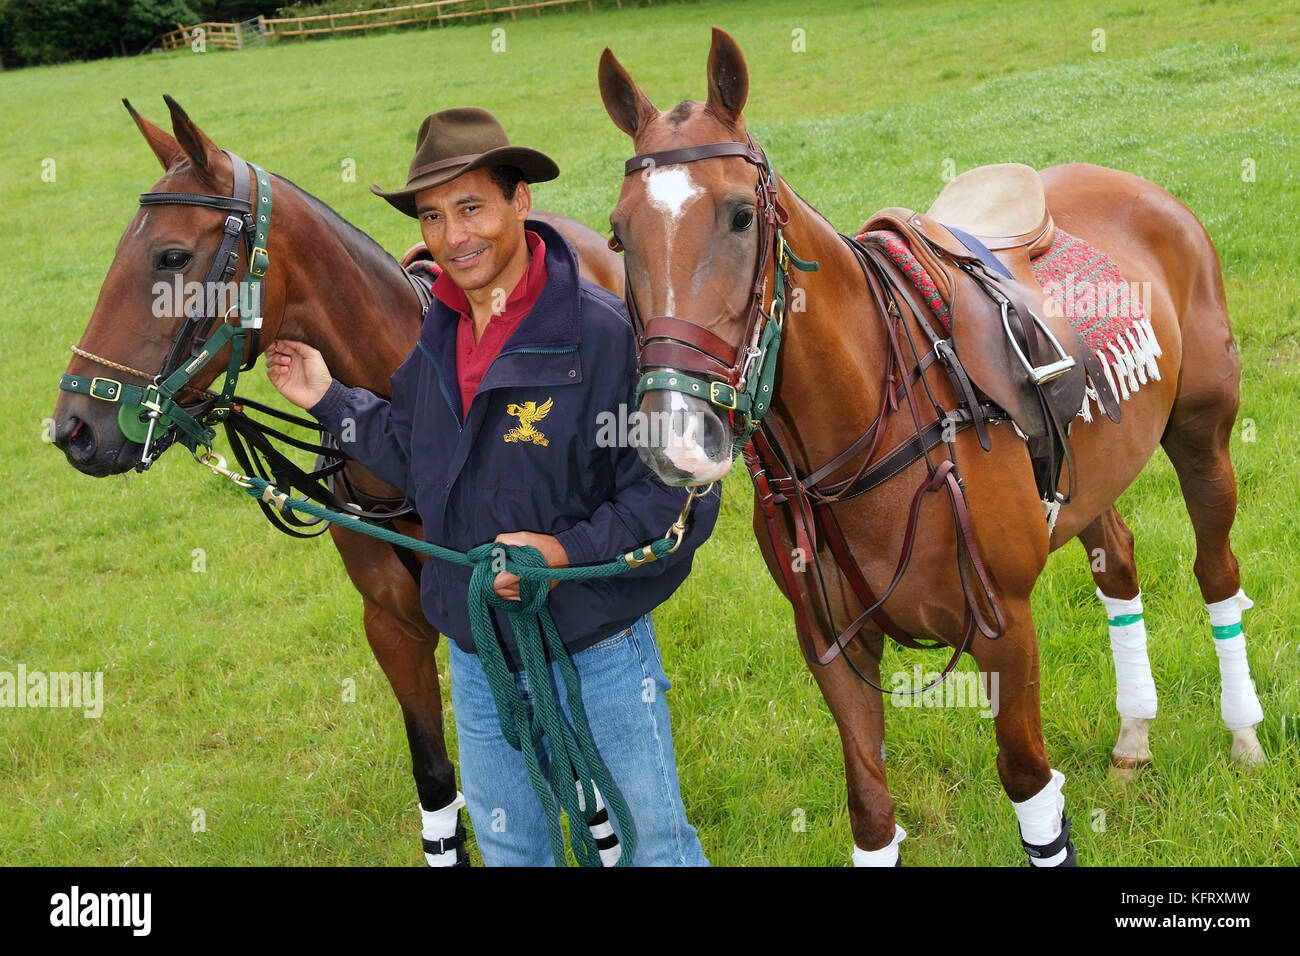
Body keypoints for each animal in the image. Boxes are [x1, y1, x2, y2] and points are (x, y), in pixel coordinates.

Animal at [603, 29, 1263, 868]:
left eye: (740, 217)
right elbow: (871, 810)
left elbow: (1030, 787)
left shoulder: (1006, 627)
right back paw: (1135, 734)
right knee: (1118, 561)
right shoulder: (831, 643)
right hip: (1091, 474)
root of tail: (1142, 188)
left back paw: (1244, 734)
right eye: (618, 234)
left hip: (1203, 435)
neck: (858, 430)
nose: (676, 435)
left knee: (1216, 571)